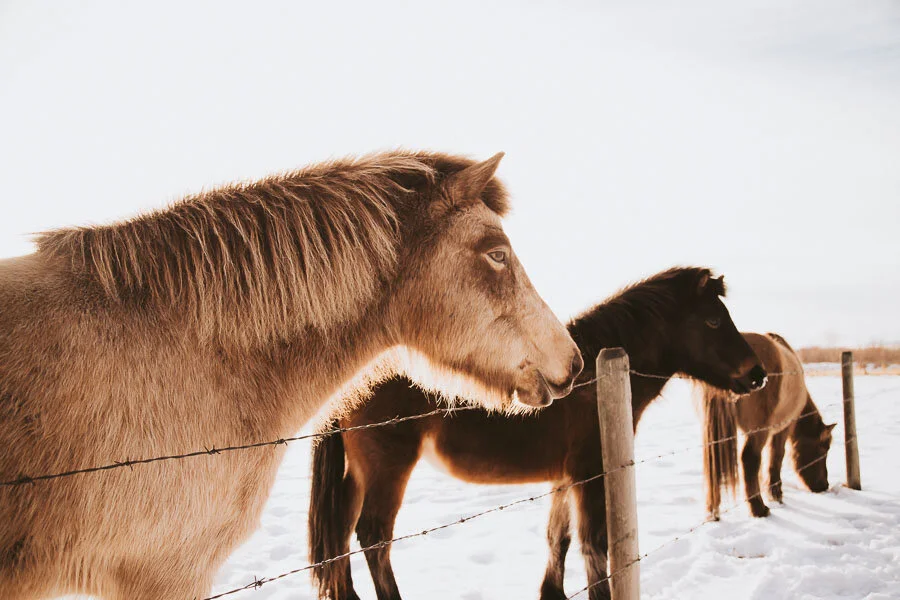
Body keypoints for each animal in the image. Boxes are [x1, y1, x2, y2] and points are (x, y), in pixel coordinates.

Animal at [308, 267, 767, 600]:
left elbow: (557, 538)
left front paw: (552, 592)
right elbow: (593, 544)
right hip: (389, 468)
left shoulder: (564, 478)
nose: (758, 375)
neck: (590, 382)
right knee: (373, 536)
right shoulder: (589, 474)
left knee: (339, 532)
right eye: (713, 320)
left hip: (360, 474)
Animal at [703, 332, 836, 519]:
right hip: (760, 430)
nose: (824, 485)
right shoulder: (783, 428)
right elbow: (776, 456)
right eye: (824, 449)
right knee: (749, 458)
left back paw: (714, 511)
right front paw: (776, 494)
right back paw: (759, 508)